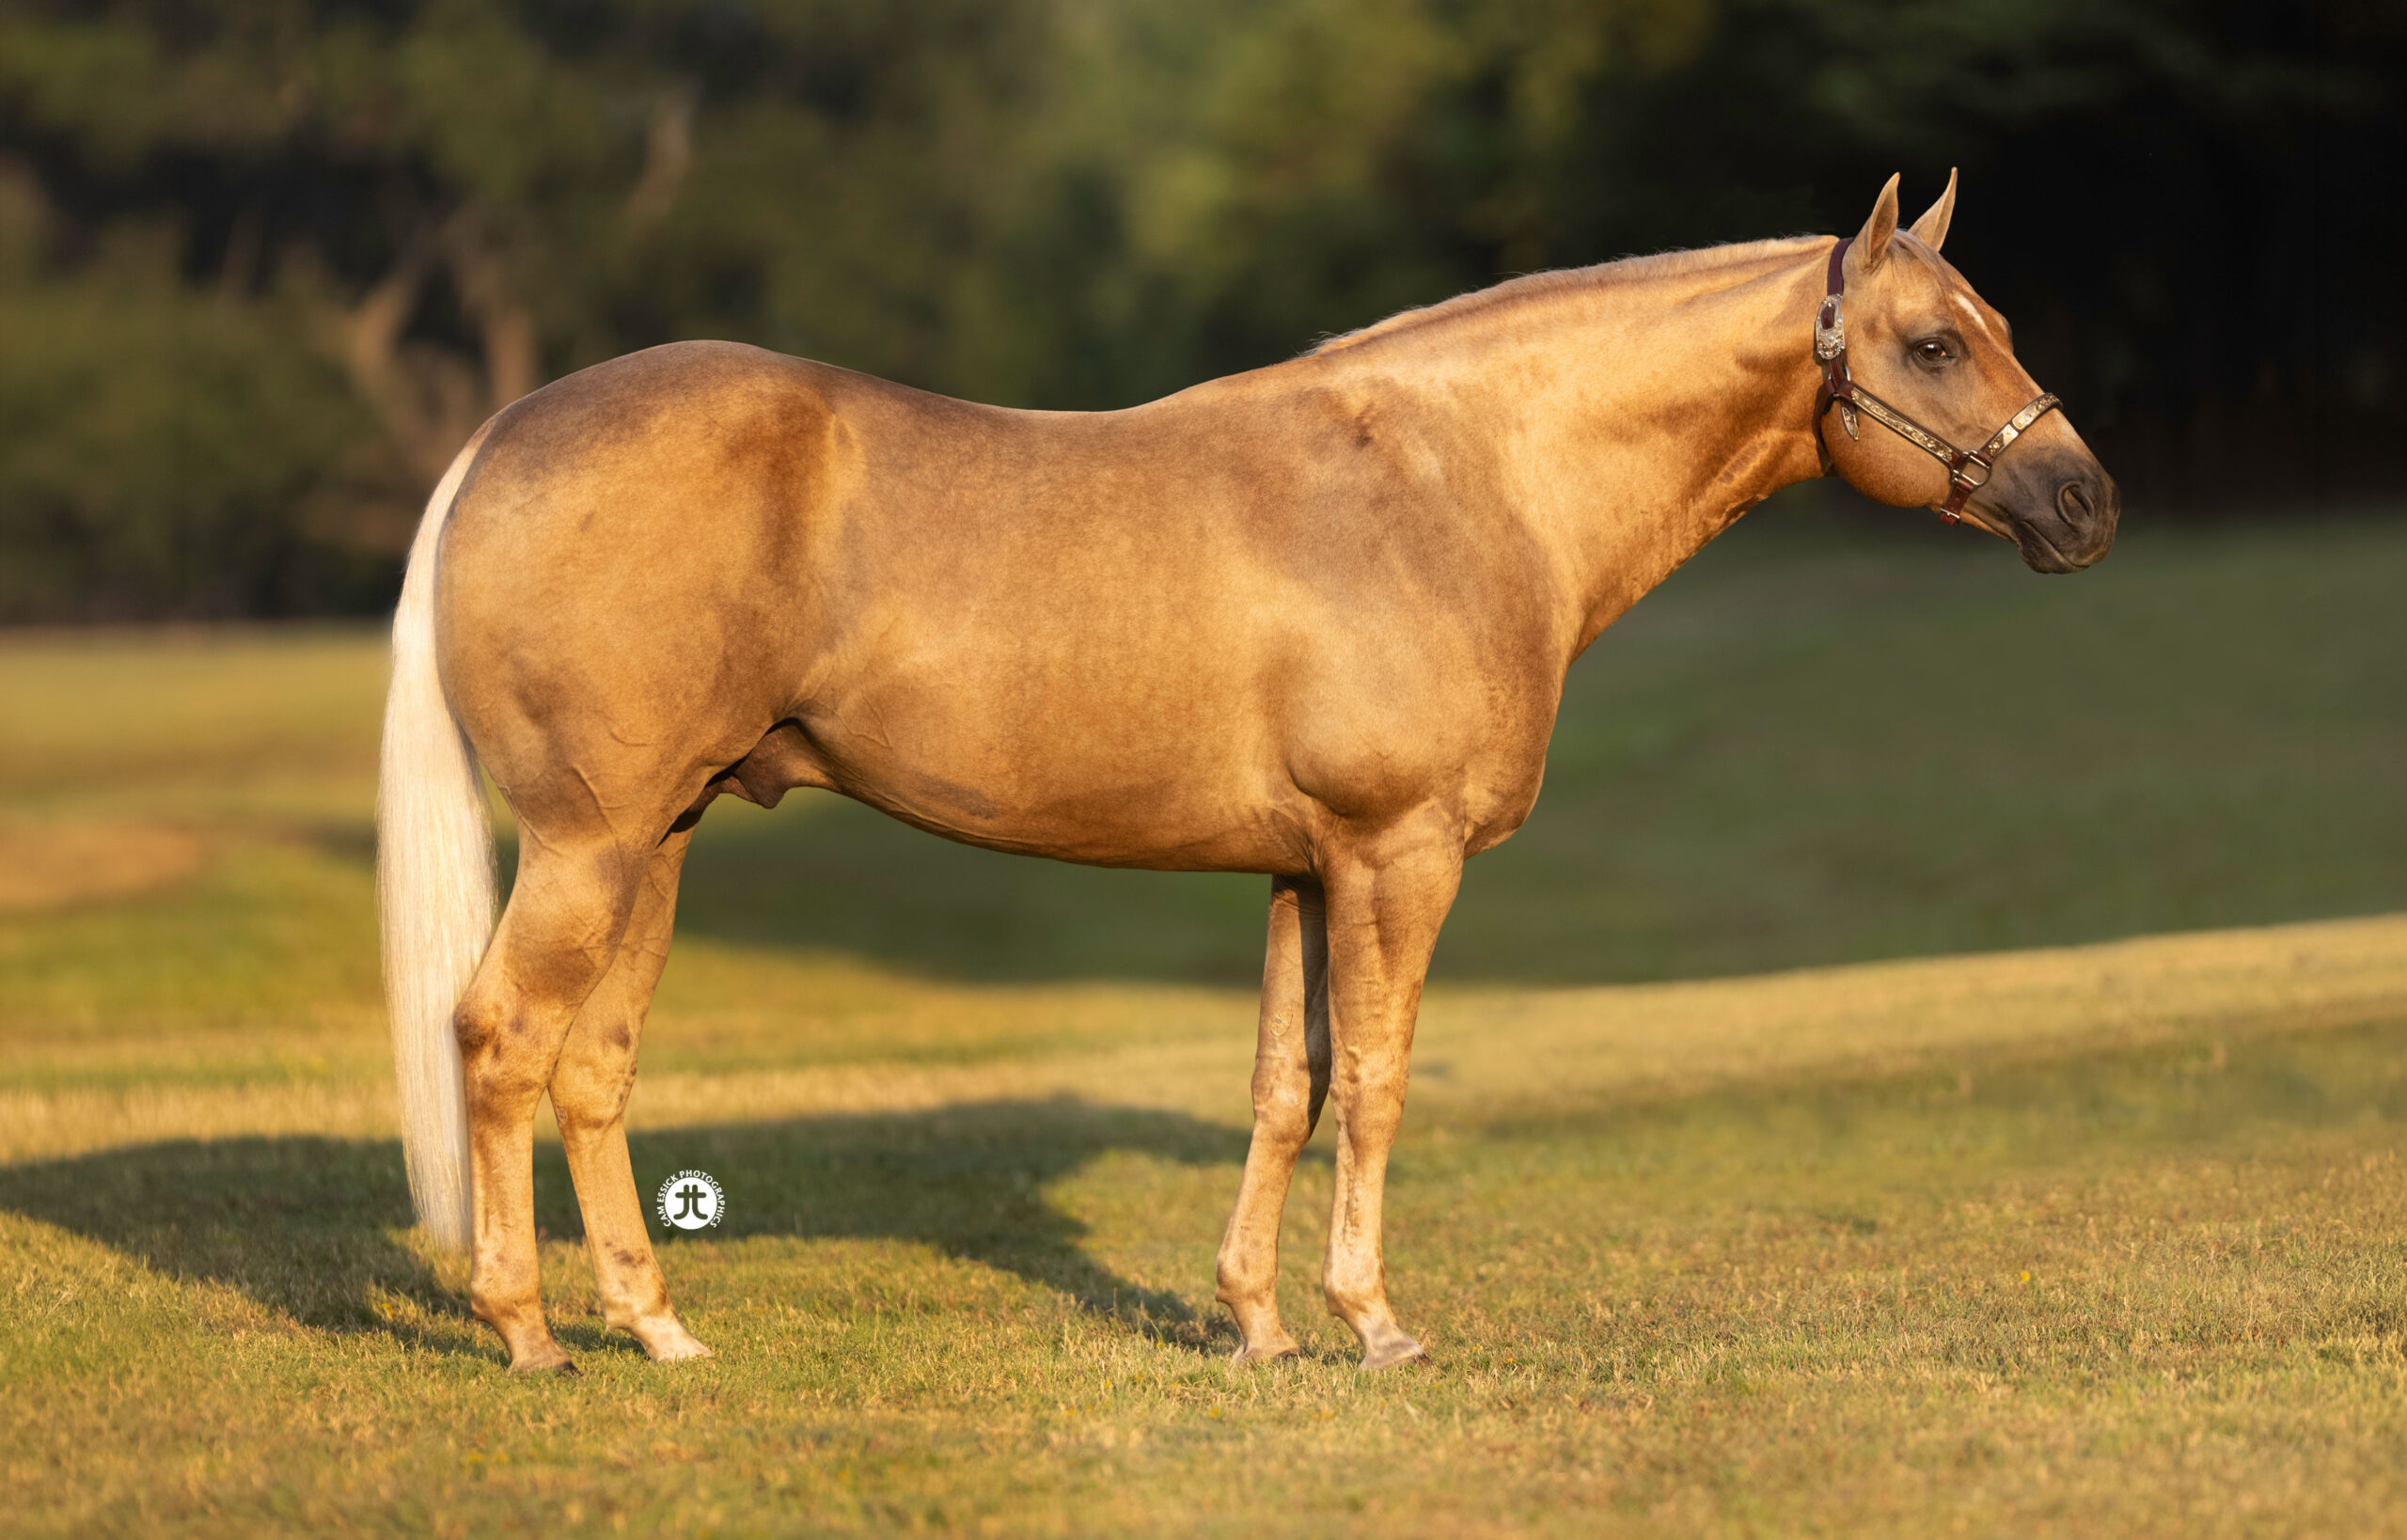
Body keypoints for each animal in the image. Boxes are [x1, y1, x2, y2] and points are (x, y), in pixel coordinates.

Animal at [379, 172, 2117, 1373]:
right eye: (1932, 341)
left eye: (1995, 327)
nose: (2085, 501)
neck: (1457, 482)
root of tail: (500, 438)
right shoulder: (1398, 855)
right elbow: (1385, 1080)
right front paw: (1373, 1321)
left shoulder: (1302, 866)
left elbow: (1292, 1082)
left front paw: (1258, 1322)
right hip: (591, 843)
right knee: (503, 1037)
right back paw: (526, 1329)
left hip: (661, 839)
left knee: (594, 1065)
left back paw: (656, 1327)